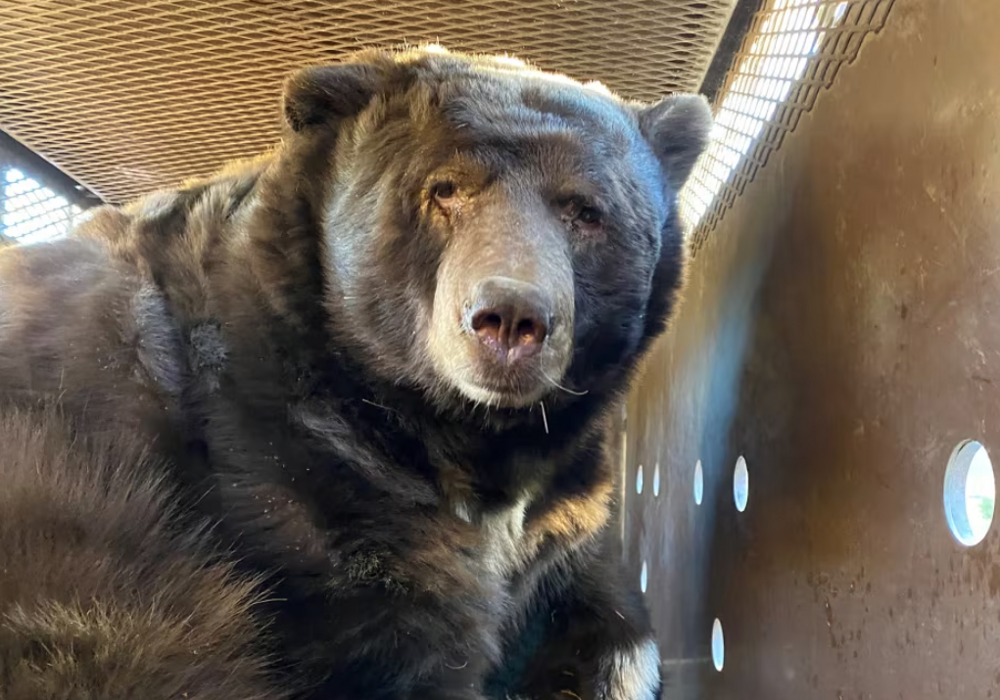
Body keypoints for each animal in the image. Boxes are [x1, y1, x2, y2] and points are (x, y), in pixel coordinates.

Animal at [0, 46, 711, 700]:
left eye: (586, 211)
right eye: (444, 189)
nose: (510, 317)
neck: (466, 435)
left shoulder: (566, 509)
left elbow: (607, 608)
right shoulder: (293, 471)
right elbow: (397, 640)